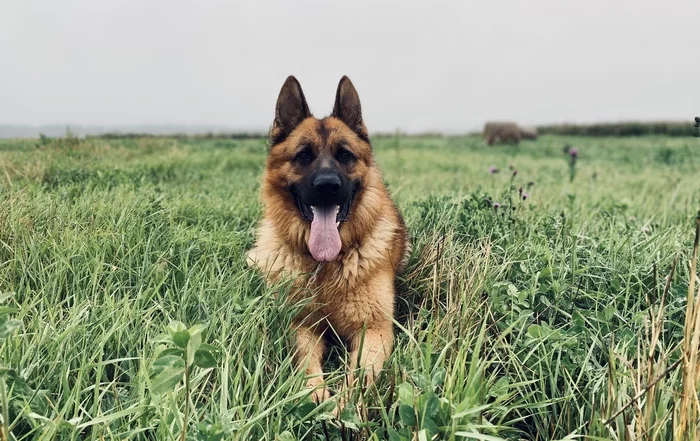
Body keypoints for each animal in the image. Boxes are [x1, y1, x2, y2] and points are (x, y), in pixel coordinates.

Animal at [247, 75, 408, 402]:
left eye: (344, 155)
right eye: (303, 156)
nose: (327, 186)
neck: (327, 266)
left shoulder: (375, 330)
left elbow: (359, 376)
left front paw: (343, 405)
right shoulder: (301, 325)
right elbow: (308, 366)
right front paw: (318, 398)